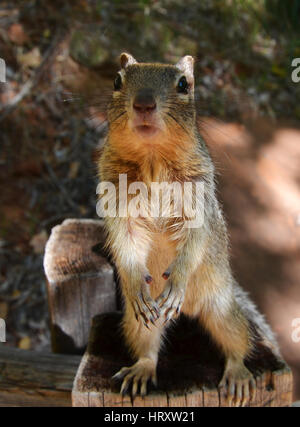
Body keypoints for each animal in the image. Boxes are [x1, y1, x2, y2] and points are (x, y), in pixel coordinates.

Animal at [96, 53, 282, 408]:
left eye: (184, 84)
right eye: (116, 80)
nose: (143, 103)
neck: (153, 159)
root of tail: (189, 312)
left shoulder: (198, 202)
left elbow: (195, 242)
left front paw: (178, 280)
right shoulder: (118, 205)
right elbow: (124, 242)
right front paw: (134, 277)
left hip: (222, 308)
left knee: (236, 340)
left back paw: (237, 373)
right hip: (136, 323)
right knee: (148, 346)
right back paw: (141, 370)